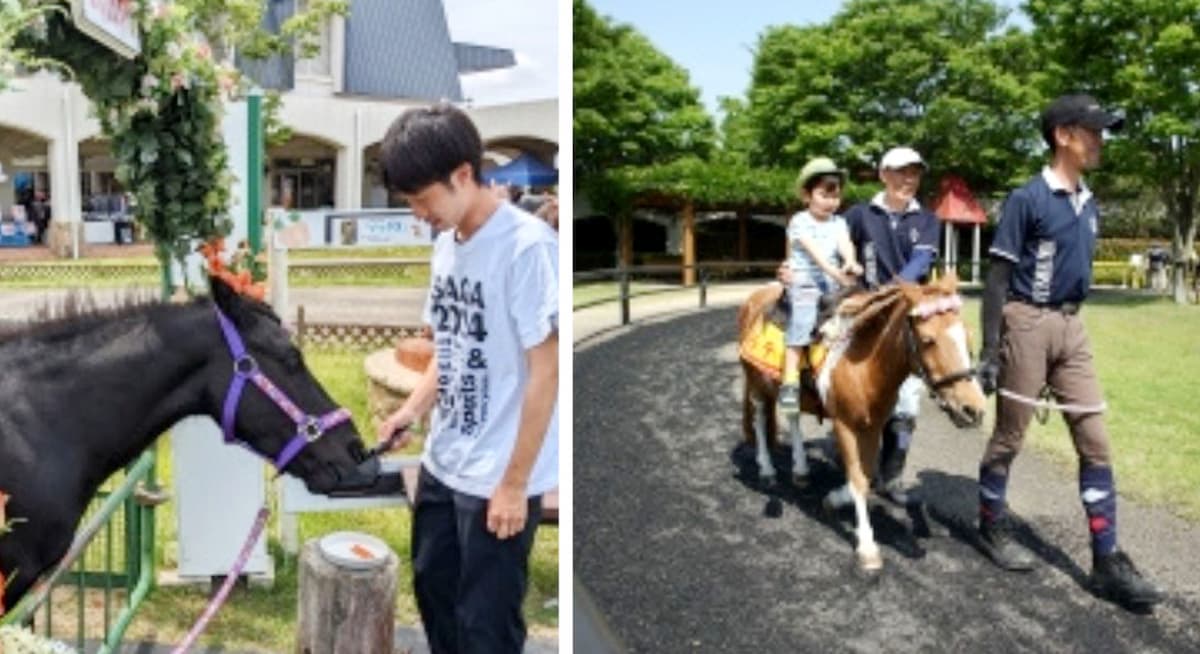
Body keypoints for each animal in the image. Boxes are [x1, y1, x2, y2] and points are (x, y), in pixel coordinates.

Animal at [739, 272, 984, 568]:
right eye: (928, 340)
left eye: (968, 336)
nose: (973, 409)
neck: (860, 363)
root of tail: (755, 297)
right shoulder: (845, 425)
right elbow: (858, 480)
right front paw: (867, 546)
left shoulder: (872, 426)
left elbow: (864, 475)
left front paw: (834, 499)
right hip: (756, 385)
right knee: (760, 420)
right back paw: (766, 469)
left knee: (793, 417)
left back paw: (800, 469)